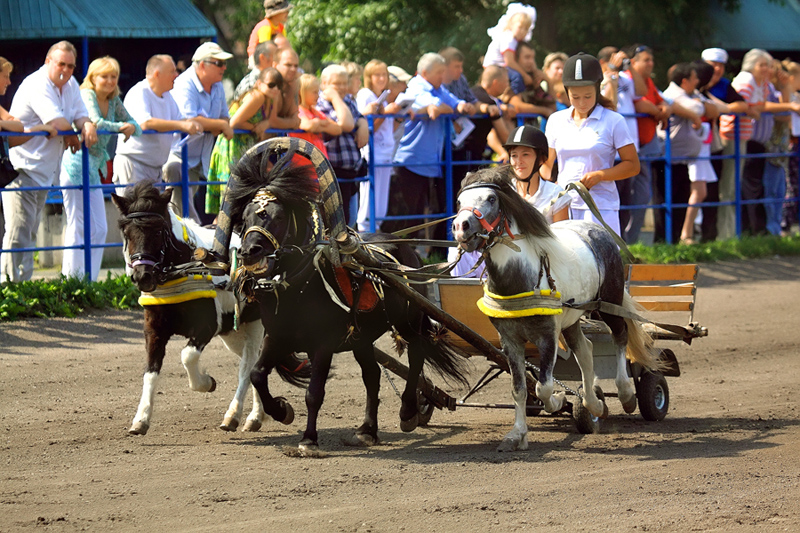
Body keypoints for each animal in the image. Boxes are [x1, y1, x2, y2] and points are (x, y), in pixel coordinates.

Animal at [112, 181, 310, 434]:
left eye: (157, 231)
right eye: (127, 233)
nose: (142, 276)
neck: (185, 270)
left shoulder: (206, 326)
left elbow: (187, 356)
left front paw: (206, 383)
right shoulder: (154, 330)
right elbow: (151, 372)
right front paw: (141, 418)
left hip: (256, 324)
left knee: (248, 367)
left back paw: (235, 415)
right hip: (234, 333)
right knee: (256, 363)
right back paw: (257, 416)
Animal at [225, 145, 468, 454]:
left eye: (277, 217)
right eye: (245, 219)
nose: (249, 252)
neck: (298, 287)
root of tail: (405, 249)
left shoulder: (323, 345)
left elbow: (314, 392)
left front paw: (308, 440)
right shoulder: (277, 337)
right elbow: (257, 374)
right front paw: (281, 410)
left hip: (408, 322)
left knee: (416, 353)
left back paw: (408, 410)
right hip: (361, 338)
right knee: (373, 375)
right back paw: (367, 431)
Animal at [450, 168, 656, 450]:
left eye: (491, 199)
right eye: (460, 201)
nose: (461, 227)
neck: (520, 280)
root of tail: (595, 228)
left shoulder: (547, 336)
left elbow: (543, 387)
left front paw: (559, 400)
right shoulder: (509, 341)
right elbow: (519, 389)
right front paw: (517, 434)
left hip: (609, 305)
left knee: (620, 337)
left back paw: (625, 394)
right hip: (571, 319)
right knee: (585, 350)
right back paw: (594, 405)